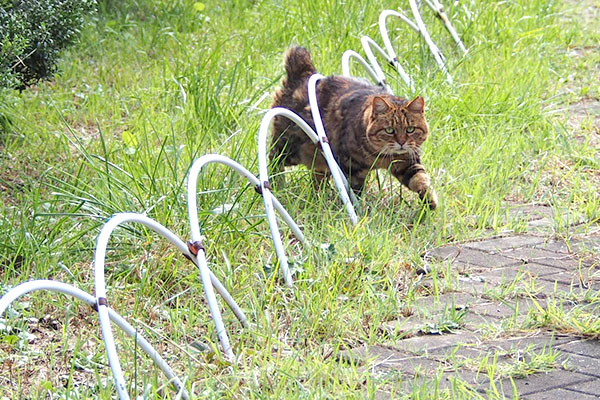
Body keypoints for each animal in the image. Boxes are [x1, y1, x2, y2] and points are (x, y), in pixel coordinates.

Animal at [270, 46, 436, 209]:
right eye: (389, 130)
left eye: (410, 129)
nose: (401, 142)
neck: (382, 156)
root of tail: (303, 73)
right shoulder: (352, 169)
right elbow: (356, 192)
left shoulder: (408, 162)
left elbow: (421, 179)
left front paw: (430, 201)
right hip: (289, 148)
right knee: (273, 160)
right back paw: (276, 185)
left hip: (319, 160)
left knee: (316, 179)